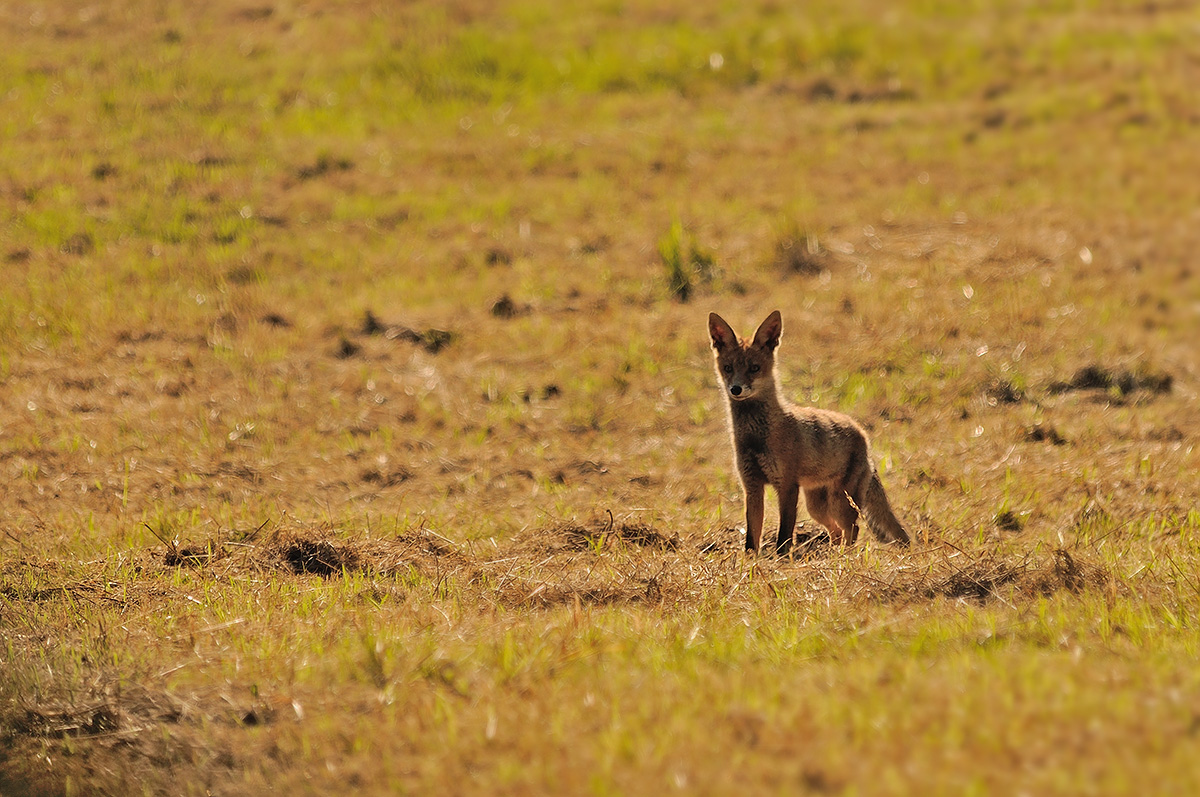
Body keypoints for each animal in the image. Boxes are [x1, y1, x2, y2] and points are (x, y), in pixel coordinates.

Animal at [700, 312, 907, 554]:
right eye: (728, 368)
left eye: (754, 368)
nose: (736, 389)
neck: (756, 439)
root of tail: (864, 437)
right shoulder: (751, 487)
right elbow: (752, 537)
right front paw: (750, 561)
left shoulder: (787, 485)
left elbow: (784, 537)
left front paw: (781, 560)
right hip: (816, 507)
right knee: (836, 531)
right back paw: (830, 555)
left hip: (840, 503)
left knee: (853, 528)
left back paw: (843, 557)